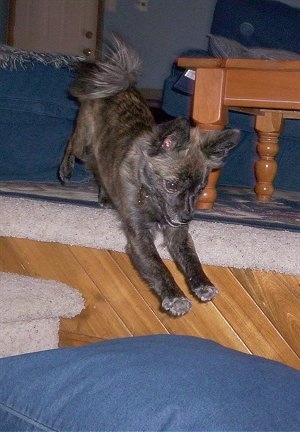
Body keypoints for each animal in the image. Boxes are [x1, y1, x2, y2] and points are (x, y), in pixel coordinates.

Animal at [59, 35, 240, 316]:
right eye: (171, 184)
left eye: (200, 190)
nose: (187, 217)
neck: (152, 198)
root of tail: (120, 85)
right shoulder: (139, 238)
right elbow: (158, 266)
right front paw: (175, 297)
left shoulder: (178, 235)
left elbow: (191, 259)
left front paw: (202, 283)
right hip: (84, 145)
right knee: (71, 142)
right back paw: (64, 170)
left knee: (100, 171)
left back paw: (105, 195)